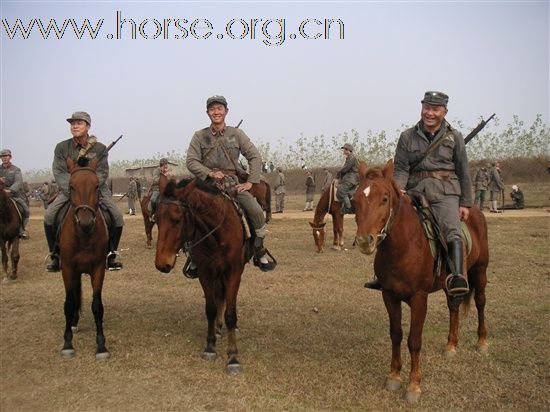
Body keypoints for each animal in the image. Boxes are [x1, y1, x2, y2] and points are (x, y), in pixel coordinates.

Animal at [58, 159, 110, 358]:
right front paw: (67, 343)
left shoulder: (98, 268)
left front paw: (101, 345)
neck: (84, 237)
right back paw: (73, 322)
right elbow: (69, 303)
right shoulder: (67, 268)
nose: (86, 223)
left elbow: (97, 305)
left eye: (96, 186)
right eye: (71, 186)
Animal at [153, 177, 252, 374]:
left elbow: (231, 313)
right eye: (157, 220)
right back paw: (218, 329)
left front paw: (233, 357)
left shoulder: (234, 273)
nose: (162, 263)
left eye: (177, 220)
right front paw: (210, 347)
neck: (217, 234)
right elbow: (211, 309)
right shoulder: (205, 273)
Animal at [356, 159, 490, 400]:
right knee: (453, 307)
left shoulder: (419, 298)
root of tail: (474, 210)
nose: (364, 240)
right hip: (450, 282)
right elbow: (396, 334)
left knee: (480, 302)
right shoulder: (389, 295)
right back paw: (451, 345)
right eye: (354, 199)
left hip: (480, 271)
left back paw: (482, 341)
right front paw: (394, 376)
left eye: (384, 199)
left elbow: (414, 340)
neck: (403, 246)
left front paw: (414, 385)